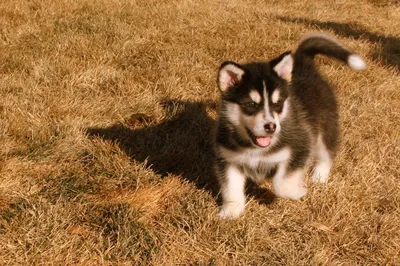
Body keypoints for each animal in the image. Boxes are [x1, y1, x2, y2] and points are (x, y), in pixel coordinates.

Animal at [216, 33, 366, 219]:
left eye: (278, 104)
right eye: (251, 104)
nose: (271, 127)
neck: (255, 149)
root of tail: (305, 65)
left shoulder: (301, 146)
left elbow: (281, 183)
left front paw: (298, 191)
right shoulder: (229, 159)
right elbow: (231, 188)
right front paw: (231, 211)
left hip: (326, 127)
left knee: (326, 153)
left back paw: (319, 176)